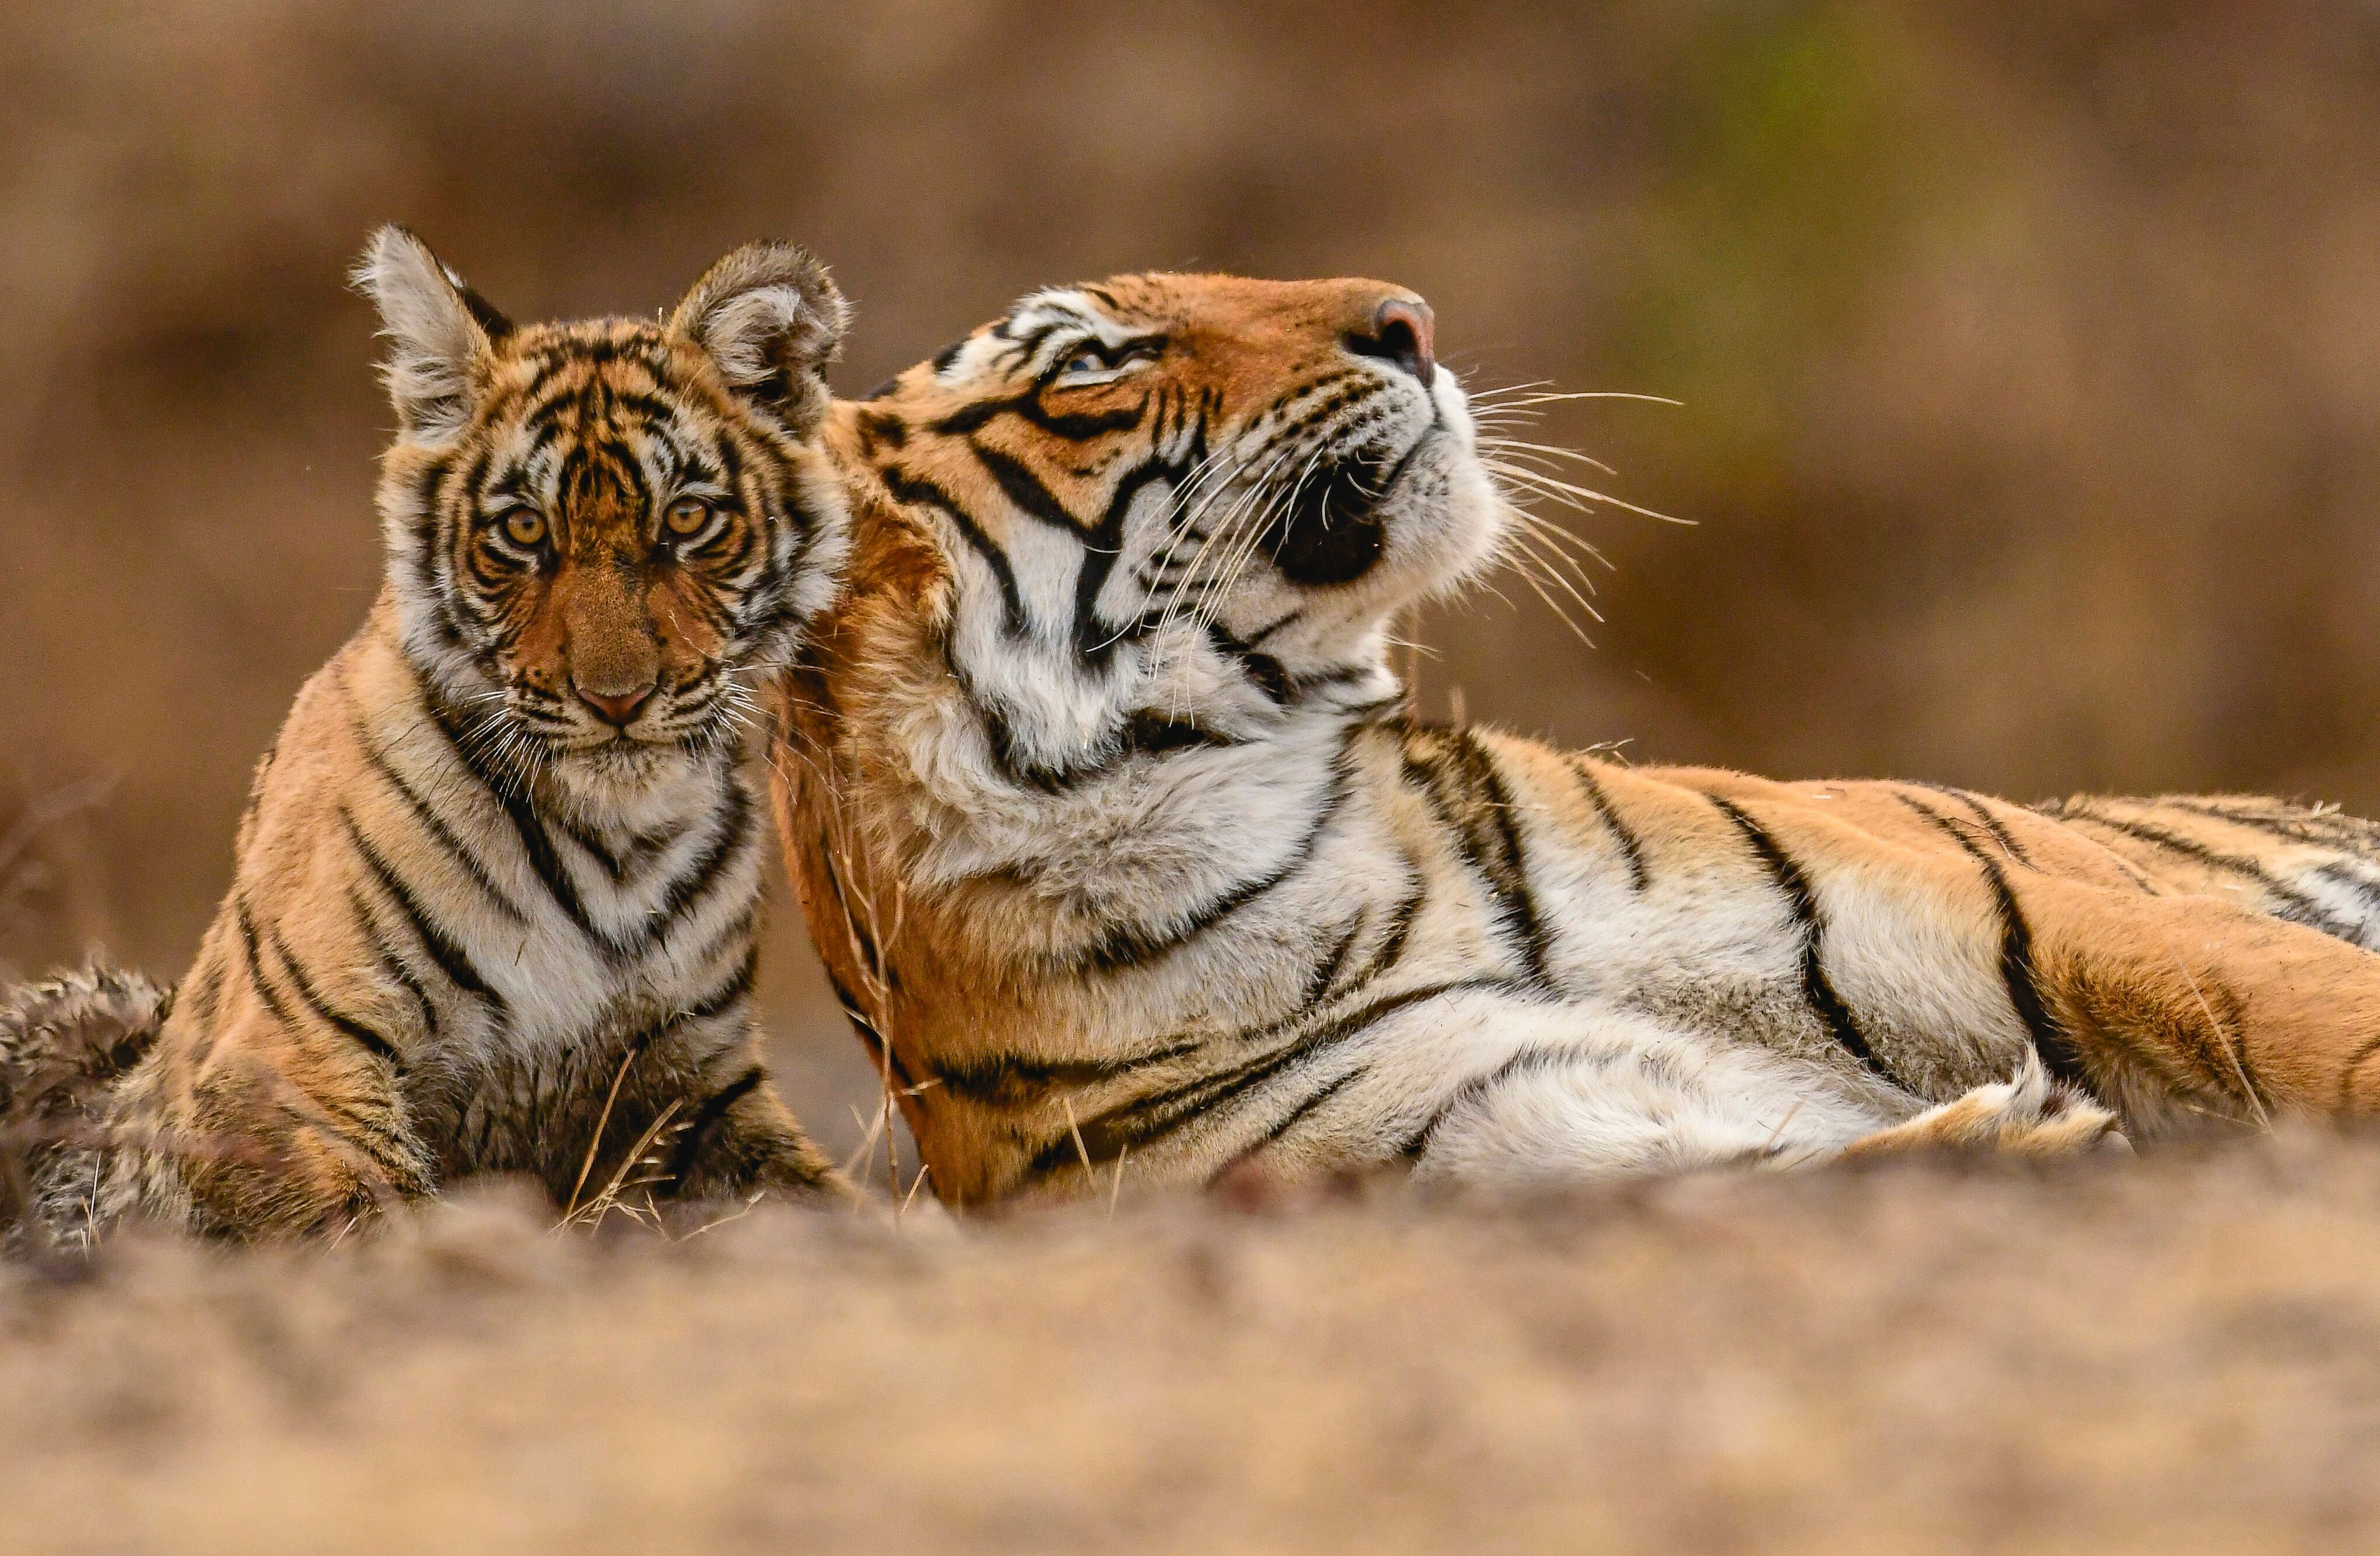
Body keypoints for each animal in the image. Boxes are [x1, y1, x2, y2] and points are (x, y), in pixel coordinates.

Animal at [4, 227, 851, 1243]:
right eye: (522, 530)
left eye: (686, 519)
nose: (616, 699)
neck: (620, 839)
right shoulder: (288, 1059)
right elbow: (371, 1214)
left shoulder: (700, 1078)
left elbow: (828, 1199)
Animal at [770, 271, 2380, 1209]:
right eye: (1095, 363)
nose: (1410, 321)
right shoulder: (1511, 1129)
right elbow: (1764, 1175)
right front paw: (2010, 1140)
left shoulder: (2028, 922)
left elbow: (2317, 1016)